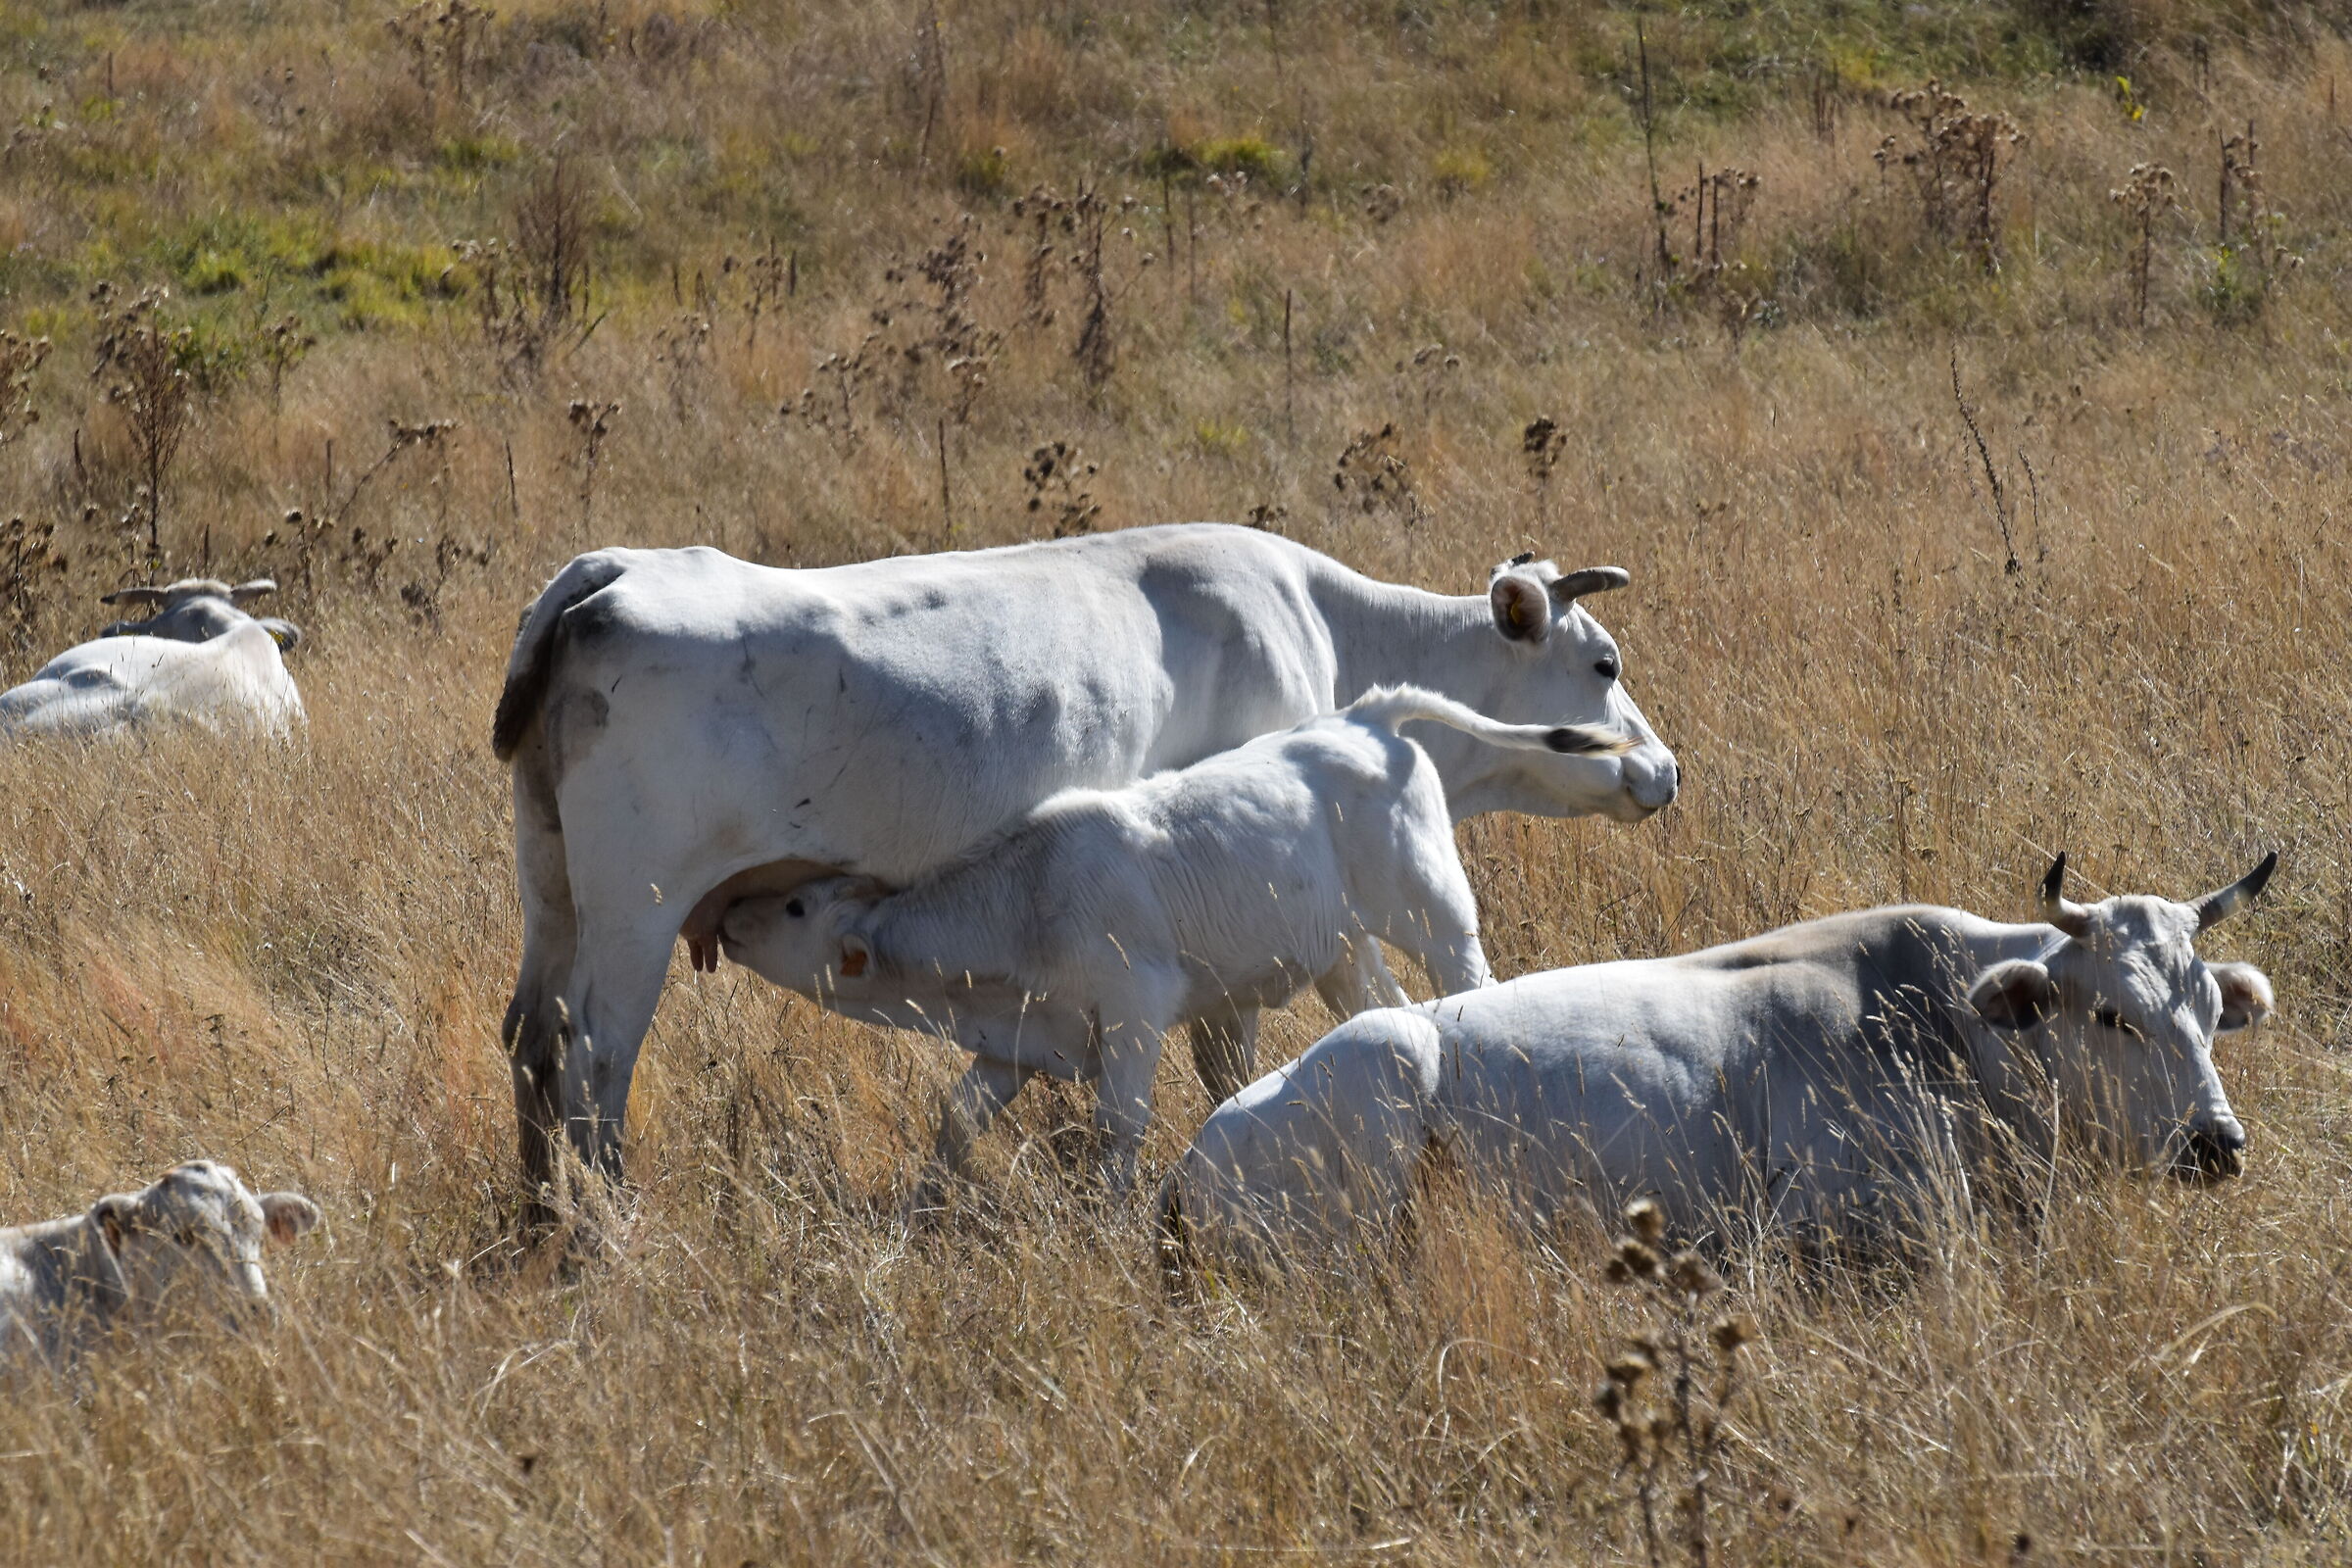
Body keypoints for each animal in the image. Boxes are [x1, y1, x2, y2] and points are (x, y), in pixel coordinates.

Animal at [716, 684, 1633, 1209]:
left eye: (795, 905)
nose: (726, 919)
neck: (1026, 899)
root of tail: (1362, 715)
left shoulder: (1133, 1010)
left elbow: (1118, 1128)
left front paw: (1106, 1219)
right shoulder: (1018, 1039)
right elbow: (958, 1117)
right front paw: (924, 1208)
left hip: (1432, 910)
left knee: (1465, 974)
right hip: (1345, 951)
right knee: (1387, 1005)